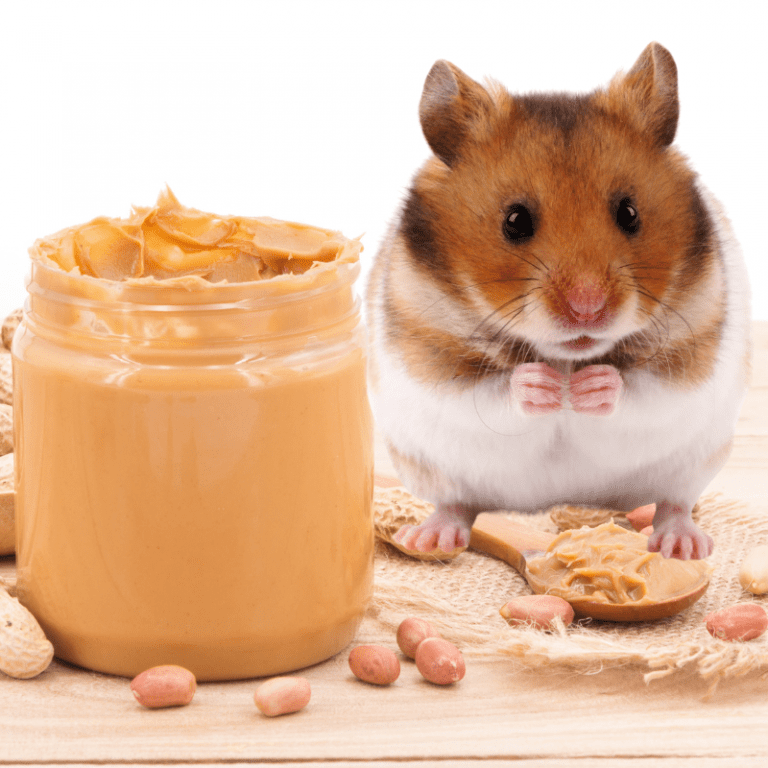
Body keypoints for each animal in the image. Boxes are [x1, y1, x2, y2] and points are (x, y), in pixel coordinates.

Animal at [365, 43, 751, 560]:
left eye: (629, 213)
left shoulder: (691, 362)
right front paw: (547, 387)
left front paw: (586, 389)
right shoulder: (426, 362)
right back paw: (428, 537)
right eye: (515, 221)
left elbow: (639, 390)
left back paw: (681, 545)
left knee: (674, 502)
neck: (566, 356)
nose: (588, 308)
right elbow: (490, 392)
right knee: (456, 505)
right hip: (428, 467)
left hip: (696, 461)